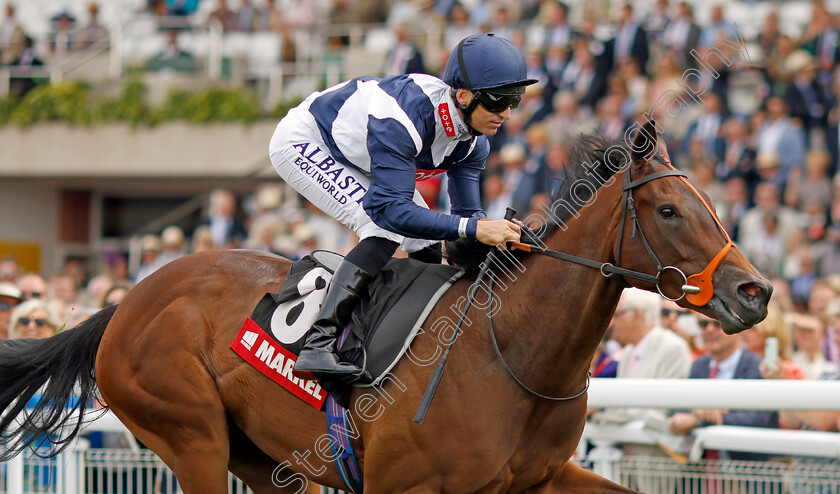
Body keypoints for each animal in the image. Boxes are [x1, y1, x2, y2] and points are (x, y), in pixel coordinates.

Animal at [0, 122, 772, 490]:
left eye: (710, 201)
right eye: (670, 210)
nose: (755, 291)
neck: (512, 355)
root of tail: (127, 301)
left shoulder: (540, 479)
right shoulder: (402, 484)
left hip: (263, 459)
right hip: (189, 432)